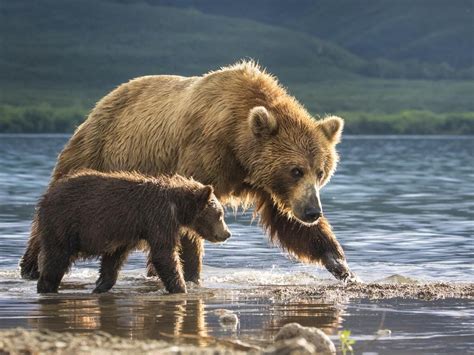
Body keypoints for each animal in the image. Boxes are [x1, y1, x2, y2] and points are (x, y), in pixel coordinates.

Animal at [35, 170, 231, 294]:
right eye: (220, 214)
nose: (227, 234)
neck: (178, 207)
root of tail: (45, 196)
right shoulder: (158, 219)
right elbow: (164, 255)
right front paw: (180, 288)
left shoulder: (127, 233)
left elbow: (113, 259)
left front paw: (101, 286)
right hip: (63, 223)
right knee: (56, 258)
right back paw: (47, 286)